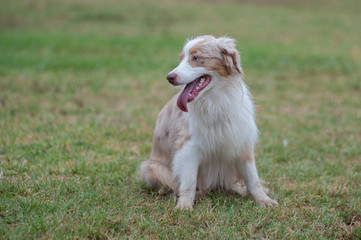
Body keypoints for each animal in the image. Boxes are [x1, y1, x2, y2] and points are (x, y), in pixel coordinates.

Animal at [139, 34, 278, 209]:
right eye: (180, 59)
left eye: (196, 58)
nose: (169, 77)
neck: (215, 100)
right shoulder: (189, 148)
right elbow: (189, 182)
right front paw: (184, 206)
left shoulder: (242, 143)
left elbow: (253, 179)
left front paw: (264, 200)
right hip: (151, 167)